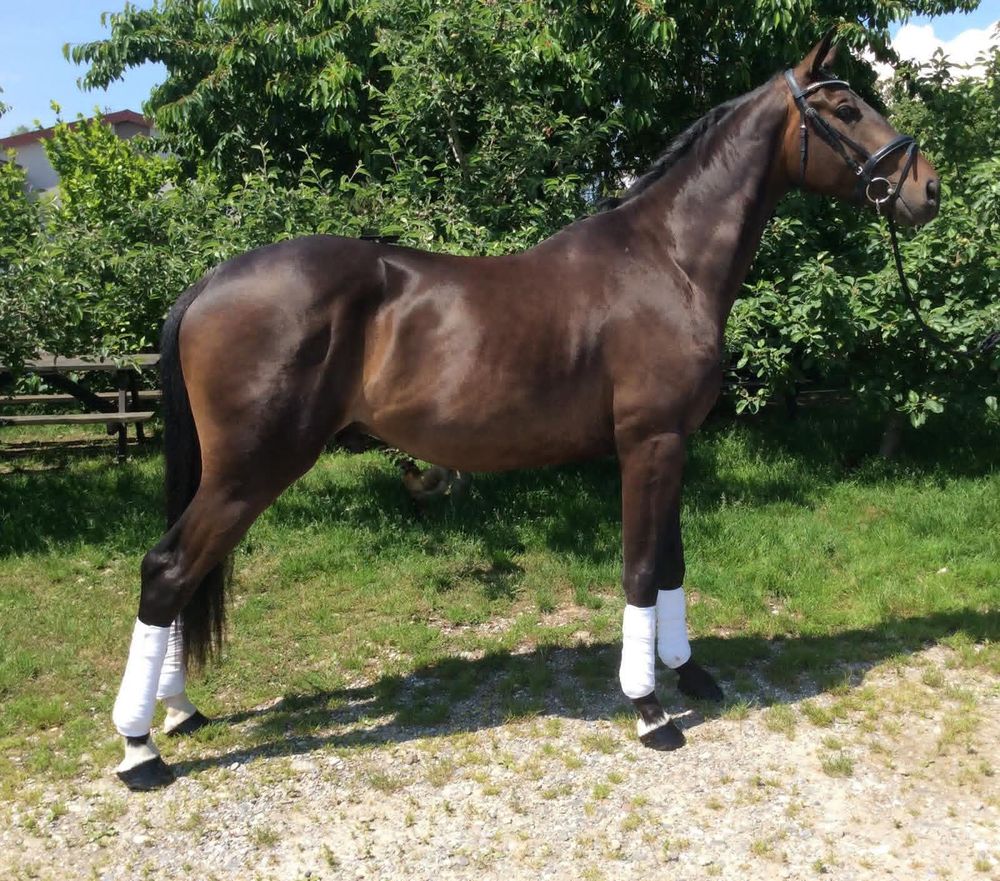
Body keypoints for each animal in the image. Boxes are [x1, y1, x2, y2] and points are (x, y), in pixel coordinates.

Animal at [110, 30, 940, 790]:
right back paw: (140, 749)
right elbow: (641, 568)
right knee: (167, 569)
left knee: (182, 574)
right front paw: (649, 709)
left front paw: (691, 673)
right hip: (250, 470)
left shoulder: (672, 442)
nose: (927, 190)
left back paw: (178, 711)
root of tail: (208, 283)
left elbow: (672, 562)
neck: (666, 259)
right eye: (845, 108)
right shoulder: (647, 444)